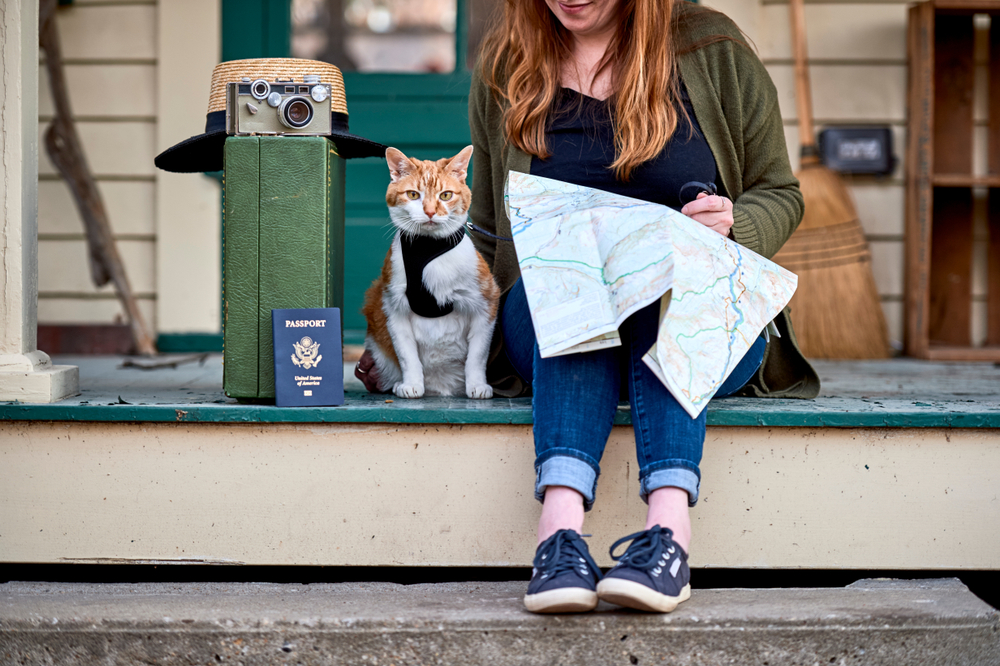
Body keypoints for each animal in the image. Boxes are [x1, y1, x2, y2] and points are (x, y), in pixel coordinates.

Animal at [362, 145, 498, 396]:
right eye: (413, 195)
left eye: (445, 195)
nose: (430, 212)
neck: (429, 248)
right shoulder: (393, 307)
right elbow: (407, 355)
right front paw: (412, 384)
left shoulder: (486, 302)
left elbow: (477, 355)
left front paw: (477, 385)